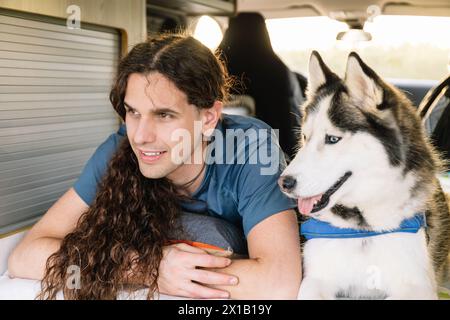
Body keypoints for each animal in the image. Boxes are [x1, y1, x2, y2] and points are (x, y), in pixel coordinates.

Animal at [280, 51, 448, 298]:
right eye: (305, 137)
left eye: (332, 139)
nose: (284, 182)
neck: (362, 230)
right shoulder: (316, 278)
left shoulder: (417, 286)